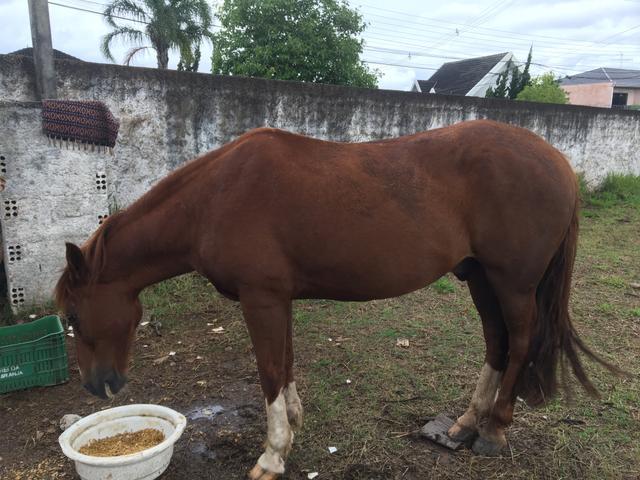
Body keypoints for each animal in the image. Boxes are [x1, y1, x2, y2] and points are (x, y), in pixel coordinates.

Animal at [56, 119, 616, 476]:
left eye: (74, 317)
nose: (97, 387)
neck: (212, 200)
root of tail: (557, 160)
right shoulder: (277, 300)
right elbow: (284, 364)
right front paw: (294, 424)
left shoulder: (261, 300)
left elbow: (269, 371)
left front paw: (273, 455)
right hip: (480, 278)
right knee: (497, 344)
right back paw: (463, 426)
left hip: (513, 283)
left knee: (519, 343)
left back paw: (495, 432)